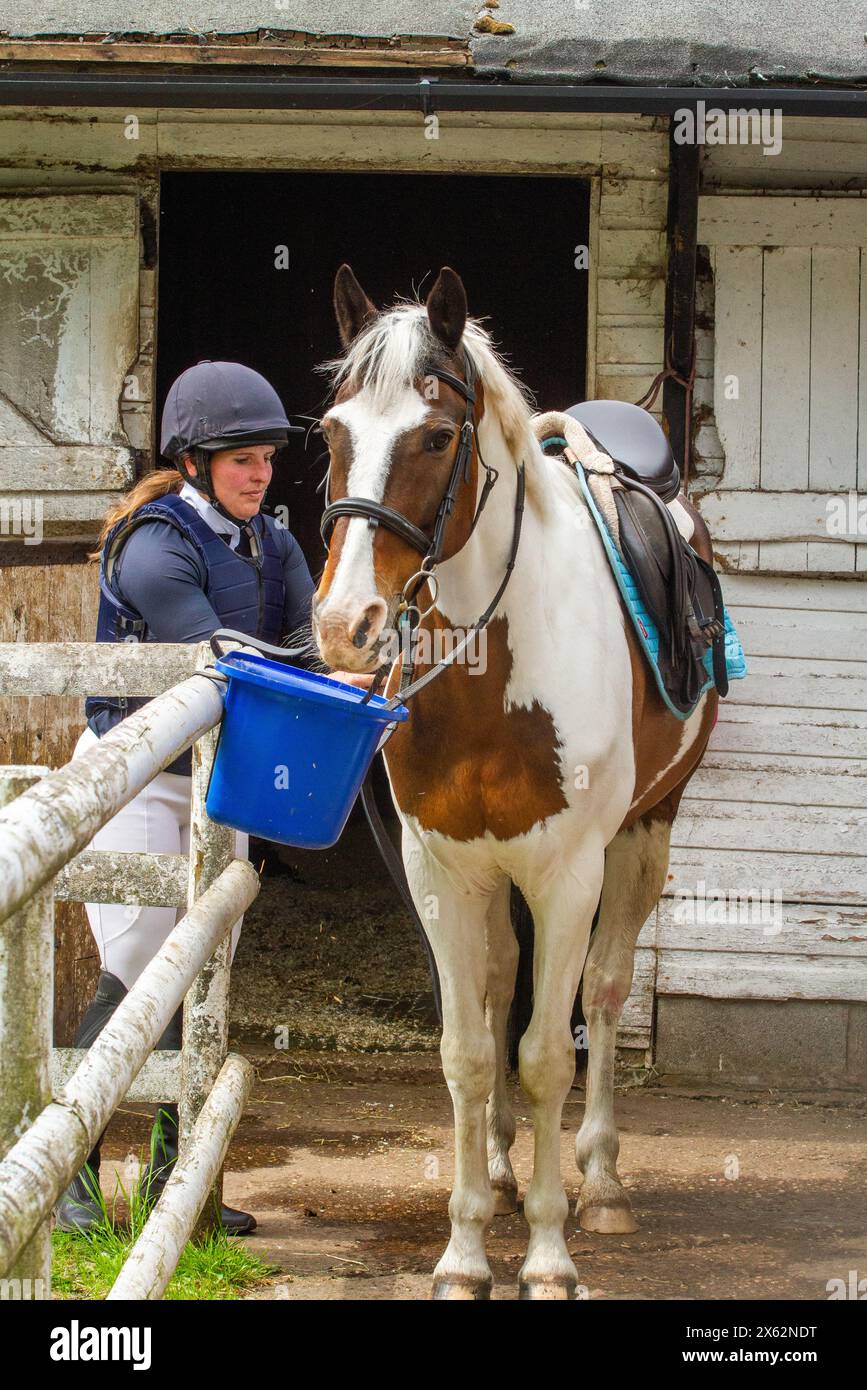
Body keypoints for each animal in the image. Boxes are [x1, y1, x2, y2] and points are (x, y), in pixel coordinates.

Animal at [312, 263, 718, 1300]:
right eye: (331, 433)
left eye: (435, 437)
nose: (344, 626)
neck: (496, 676)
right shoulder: (441, 870)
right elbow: (467, 1049)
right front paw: (463, 1251)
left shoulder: (567, 874)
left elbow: (544, 1056)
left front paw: (545, 1254)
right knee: (499, 984)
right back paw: (497, 1164)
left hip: (644, 834)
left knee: (605, 992)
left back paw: (600, 1182)